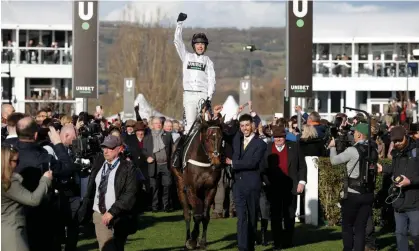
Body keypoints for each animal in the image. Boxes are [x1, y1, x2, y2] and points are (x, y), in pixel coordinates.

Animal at [171, 115, 225, 249]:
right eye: (208, 138)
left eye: (222, 138)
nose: (217, 164)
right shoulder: (191, 188)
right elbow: (197, 214)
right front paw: (192, 240)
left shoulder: (211, 188)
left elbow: (205, 215)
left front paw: (202, 241)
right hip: (180, 187)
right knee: (187, 214)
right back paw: (187, 239)